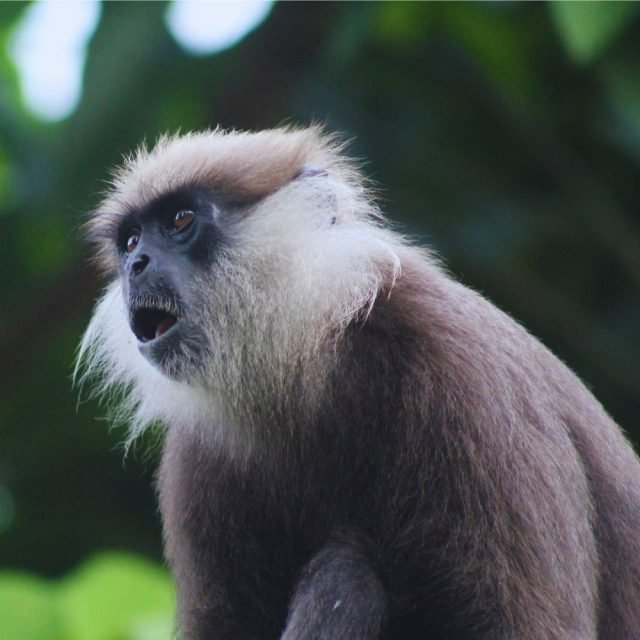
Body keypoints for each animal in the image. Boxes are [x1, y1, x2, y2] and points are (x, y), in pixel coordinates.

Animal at [77, 126, 640, 640]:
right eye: (131, 241)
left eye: (180, 220)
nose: (136, 264)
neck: (311, 368)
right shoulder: (199, 456)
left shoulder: (467, 385)